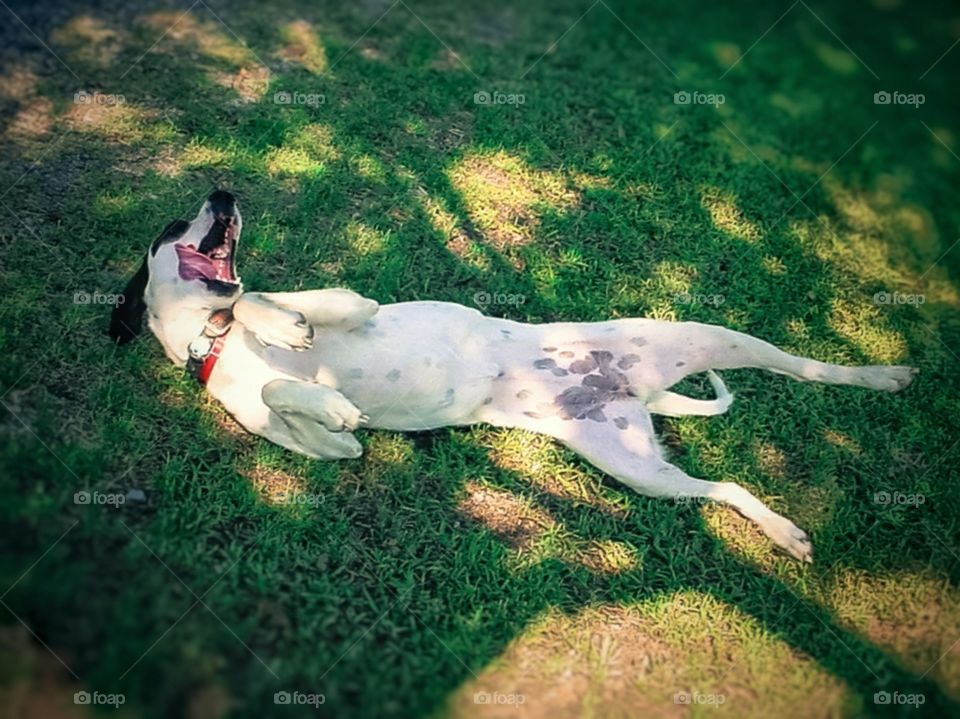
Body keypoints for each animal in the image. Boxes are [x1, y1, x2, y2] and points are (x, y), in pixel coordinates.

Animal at [109, 191, 920, 564]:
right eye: (171, 228)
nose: (224, 191)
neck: (211, 339)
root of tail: (629, 389)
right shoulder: (318, 445)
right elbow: (309, 412)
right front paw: (332, 405)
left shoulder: (344, 301)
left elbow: (263, 301)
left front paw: (282, 329)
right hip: (635, 465)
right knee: (723, 487)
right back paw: (782, 531)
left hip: (703, 336)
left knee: (806, 363)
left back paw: (886, 375)